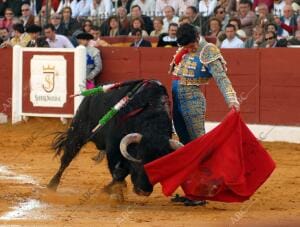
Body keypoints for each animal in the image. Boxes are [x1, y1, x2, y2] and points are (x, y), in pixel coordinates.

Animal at [48, 80, 182, 198]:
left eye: (161, 163)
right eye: (139, 158)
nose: (144, 191)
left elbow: (123, 172)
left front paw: (112, 190)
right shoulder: (113, 148)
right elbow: (118, 172)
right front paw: (114, 192)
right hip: (77, 132)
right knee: (66, 158)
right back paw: (51, 186)